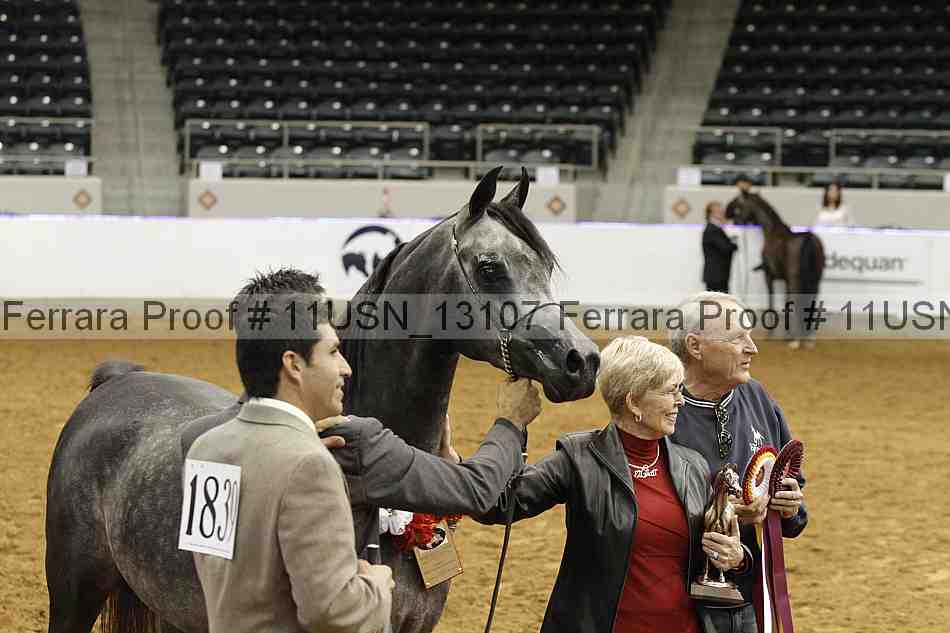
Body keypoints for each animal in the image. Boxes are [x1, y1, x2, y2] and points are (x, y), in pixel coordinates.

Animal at [726, 191, 825, 348]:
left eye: (739, 203)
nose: (734, 220)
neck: (772, 231)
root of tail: (809, 238)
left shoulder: (770, 276)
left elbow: (772, 302)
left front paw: (771, 334)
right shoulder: (786, 281)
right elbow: (786, 303)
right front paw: (786, 335)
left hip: (796, 280)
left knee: (798, 301)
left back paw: (797, 340)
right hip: (815, 280)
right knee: (812, 300)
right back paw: (808, 338)